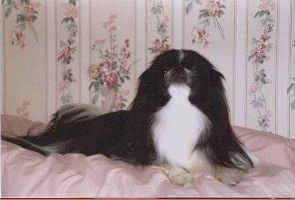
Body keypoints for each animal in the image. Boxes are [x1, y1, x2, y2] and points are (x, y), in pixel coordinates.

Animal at [2, 49, 256, 186]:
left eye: (193, 69)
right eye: (164, 69)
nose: (178, 69)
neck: (179, 108)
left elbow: (216, 162)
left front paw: (228, 174)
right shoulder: (143, 154)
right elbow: (166, 161)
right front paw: (180, 175)